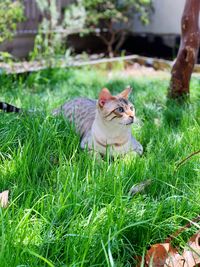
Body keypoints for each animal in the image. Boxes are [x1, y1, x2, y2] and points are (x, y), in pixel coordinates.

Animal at [0, 87, 144, 157]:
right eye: (120, 109)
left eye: (132, 108)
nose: (133, 116)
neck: (113, 136)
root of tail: (62, 104)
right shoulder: (85, 147)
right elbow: (96, 157)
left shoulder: (139, 148)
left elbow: (128, 157)